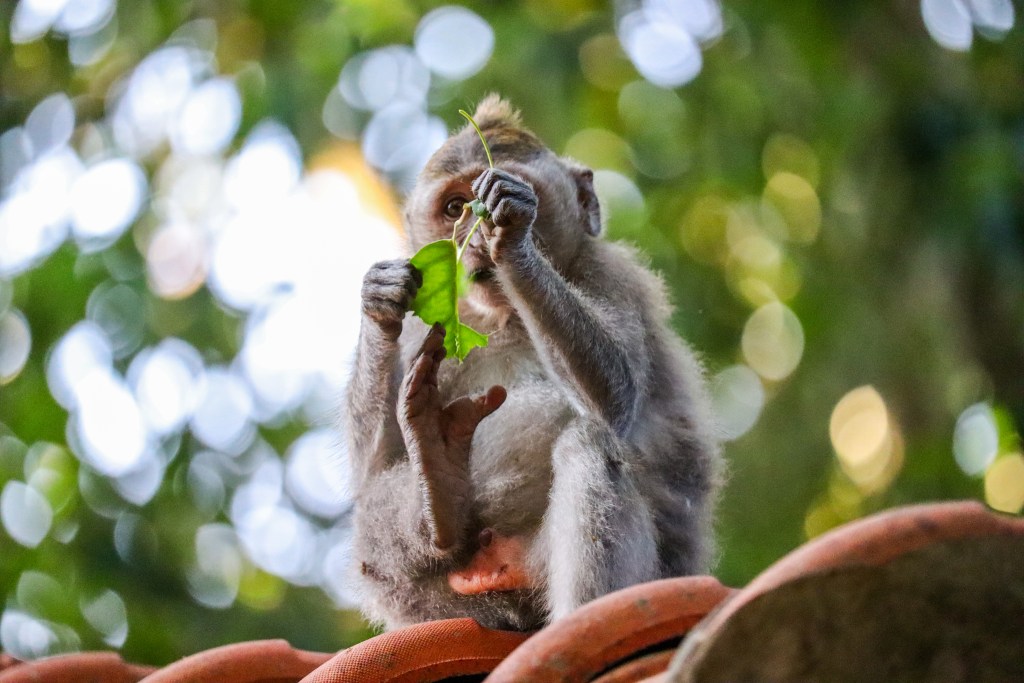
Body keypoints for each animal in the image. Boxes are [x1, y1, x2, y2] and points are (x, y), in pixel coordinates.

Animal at [344, 95, 721, 631]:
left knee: (591, 445)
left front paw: (514, 234)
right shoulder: (429, 322)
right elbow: (373, 467)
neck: (509, 318)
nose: (475, 233)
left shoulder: (610, 276)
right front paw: (378, 301)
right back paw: (439, 492)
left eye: (487, 191)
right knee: (375, 540)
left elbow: (615, 396)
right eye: (454, 208)